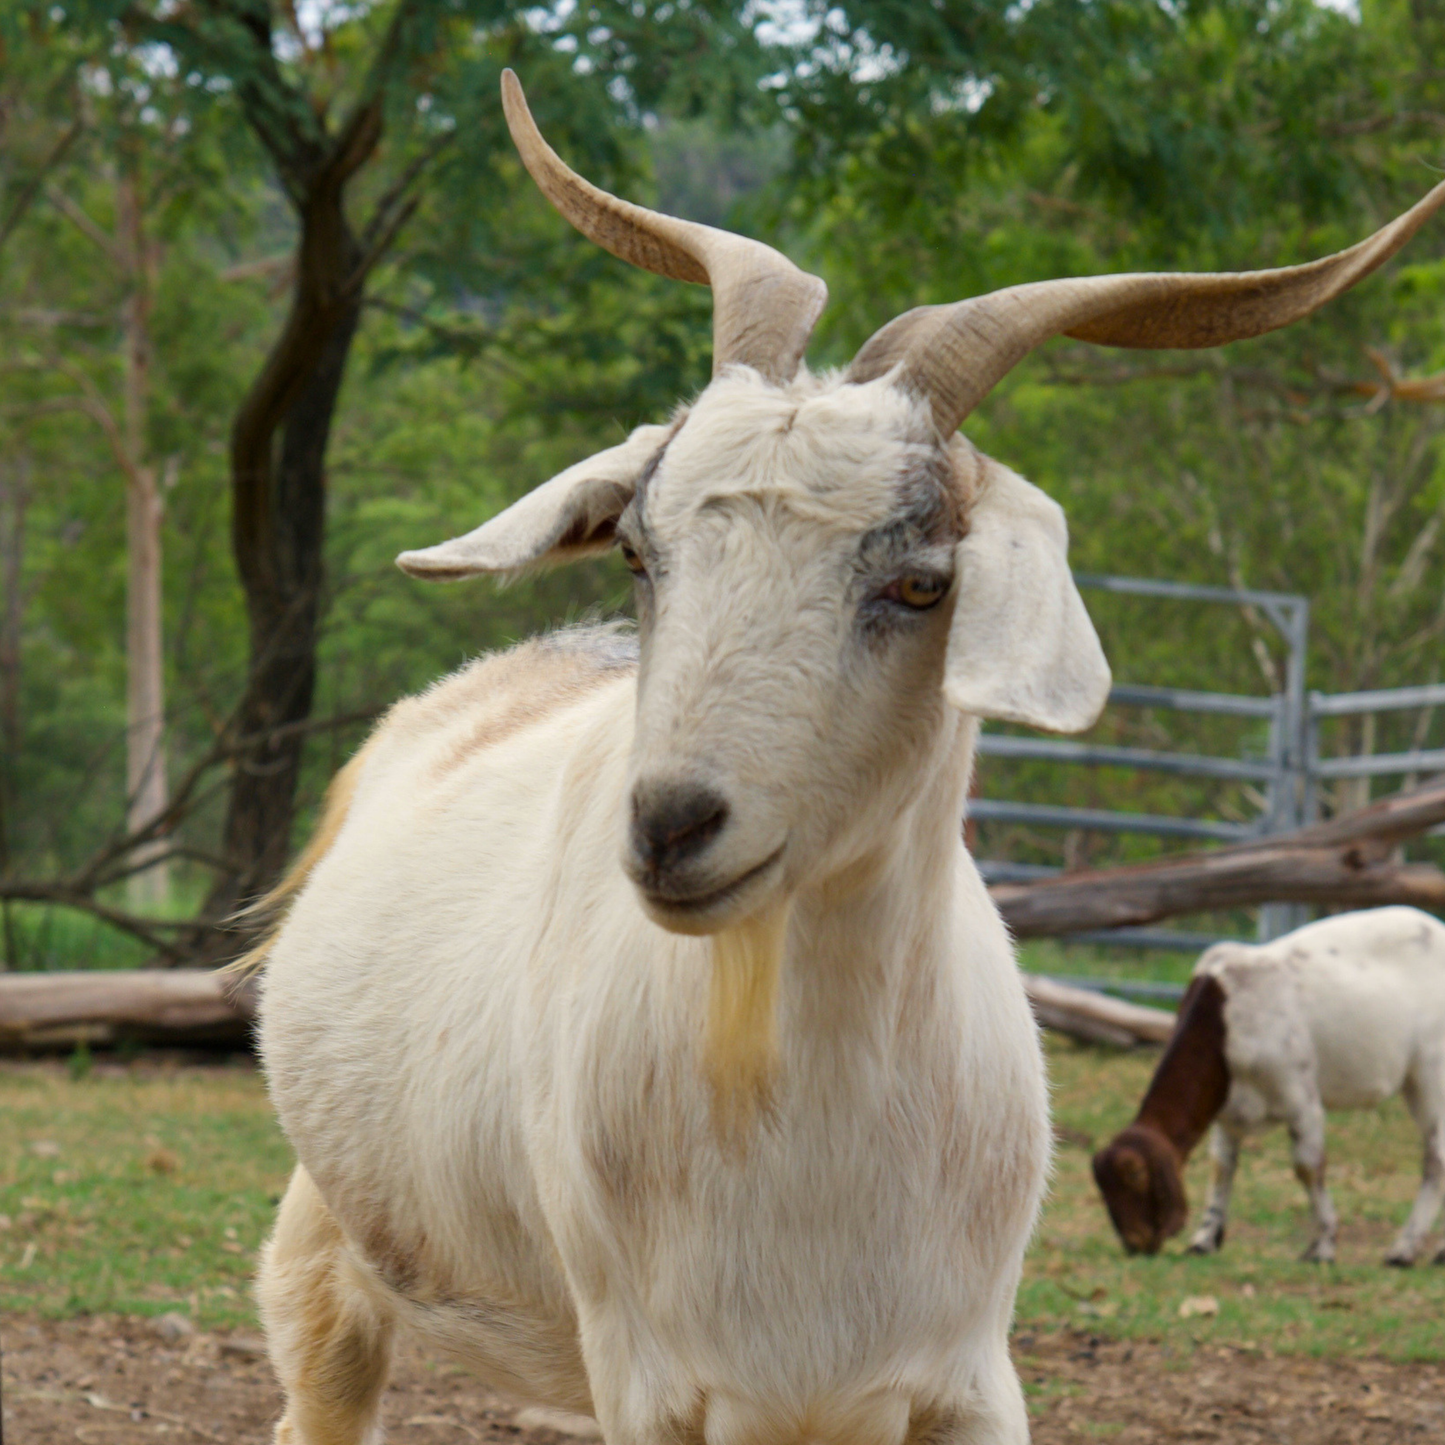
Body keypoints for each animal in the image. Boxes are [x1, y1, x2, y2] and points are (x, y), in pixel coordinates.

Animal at [1093, 907, 1445, 1266]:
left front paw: (1322, 1247)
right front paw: (1204, 1240)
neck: (1224, 1021)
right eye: (1103, 1190)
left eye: (1136, 1177)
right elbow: (1222, 1166)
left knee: (1436, 1157)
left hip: (1432, 1070)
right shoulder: (1225, 1110)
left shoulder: (1302, 1100)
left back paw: (1404, 1250)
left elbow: (1307, 1167)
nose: (1135, 1243)